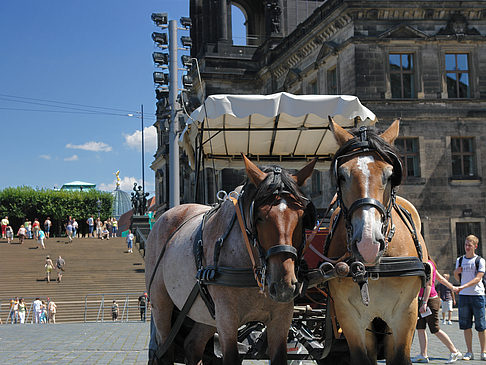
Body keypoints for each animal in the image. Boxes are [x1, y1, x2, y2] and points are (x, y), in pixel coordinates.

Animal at [146, 155, 318, 362]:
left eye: (302, 217)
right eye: (259, 217)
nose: (283, 285)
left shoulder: (281, 319)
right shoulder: (227, 320)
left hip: (206, 314)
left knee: (192, 345)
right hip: (161, 305)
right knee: (165, 349)